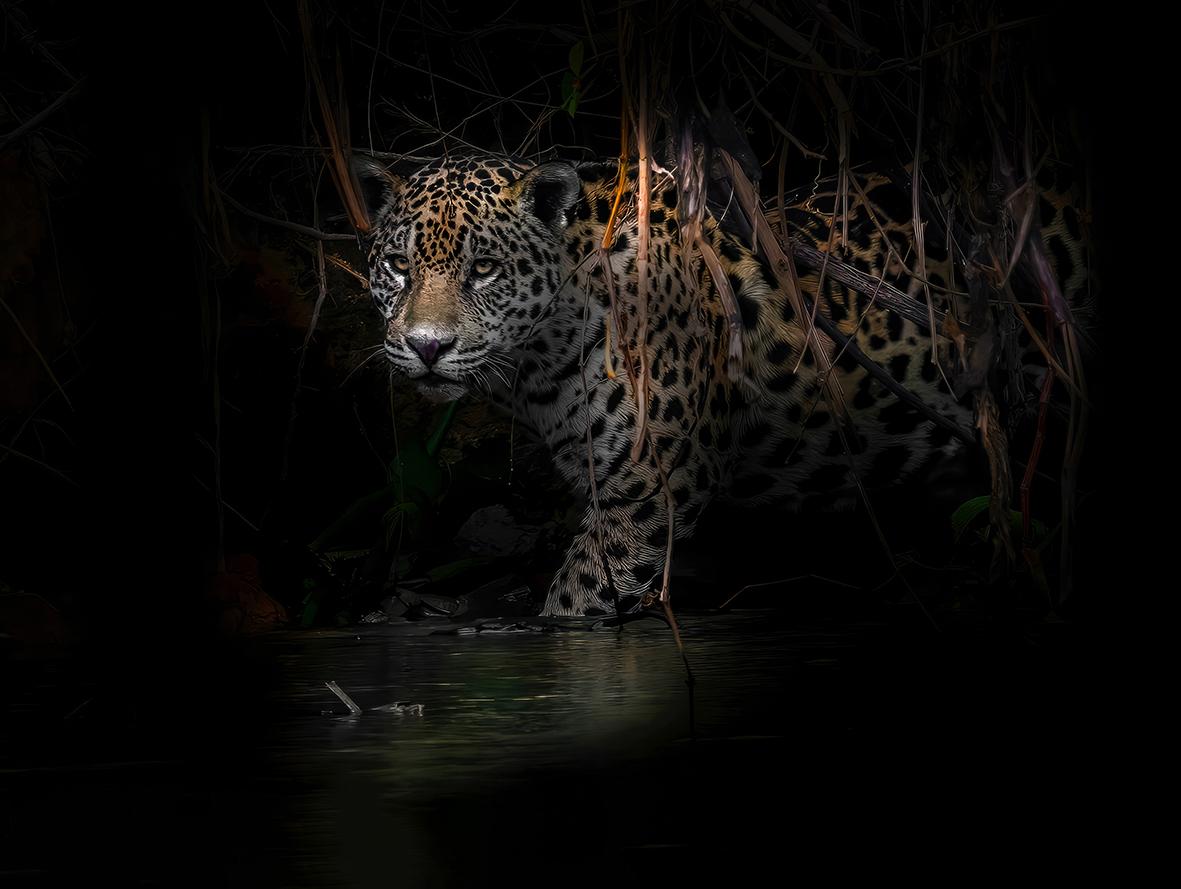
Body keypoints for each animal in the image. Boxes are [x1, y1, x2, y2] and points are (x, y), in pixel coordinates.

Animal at [353, 152, 1088, 617]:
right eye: (397, 265)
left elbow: (574, 604)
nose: (426, 346)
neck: (540, 354)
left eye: (483, 270)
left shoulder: (647, 489)